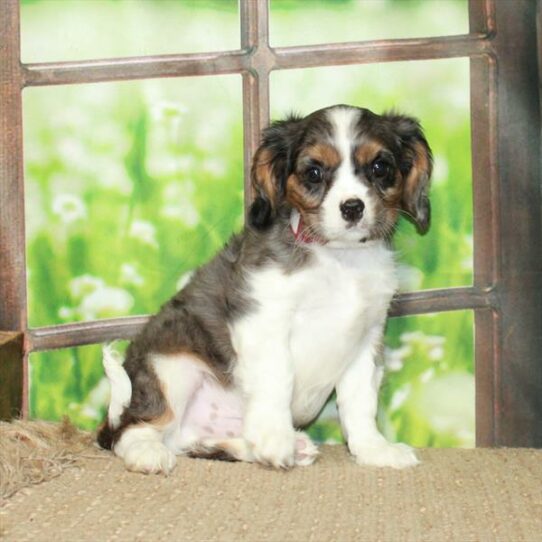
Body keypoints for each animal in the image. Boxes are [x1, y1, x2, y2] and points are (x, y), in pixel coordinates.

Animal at [96, 104, 434, 474]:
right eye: (314, 172)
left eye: (380, 167)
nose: (352, 207)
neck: (339, 260)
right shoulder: (264, 318)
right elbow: (277, 376)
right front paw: (275, 438)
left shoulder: (365, 338)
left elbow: (360, 401)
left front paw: (373, 449)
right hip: (171, 366)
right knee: (132, 430)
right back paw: (148, 452)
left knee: (188, 441)